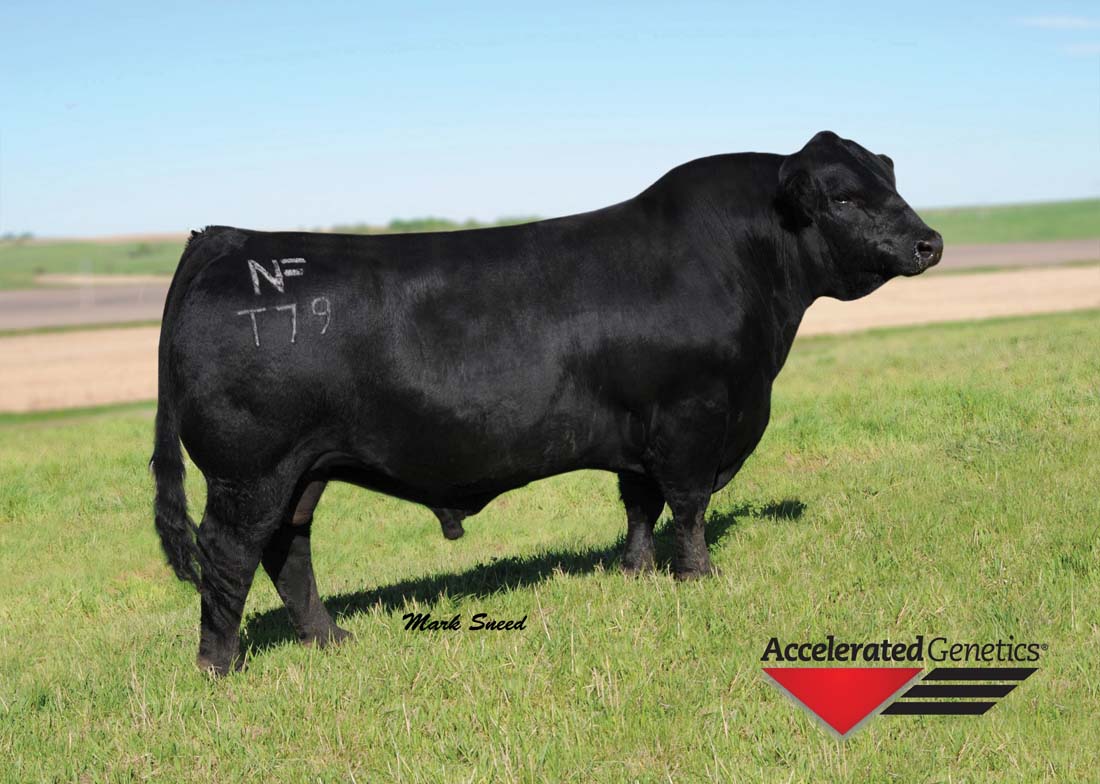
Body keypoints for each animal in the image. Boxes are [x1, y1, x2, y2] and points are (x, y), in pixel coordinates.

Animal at [152, 130, 943, 674]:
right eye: (844, 197)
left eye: (888, 181)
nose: (930, 243)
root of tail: (229, 239)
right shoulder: (694, 419)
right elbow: (688, 506)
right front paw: (700, 577)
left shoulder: (641, 433)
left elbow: (639, 504)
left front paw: (636, 572)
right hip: (251, 471)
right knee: (230, 552)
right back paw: (219, 667)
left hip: (301, 471)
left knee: (287, 549)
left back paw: (329, 639)